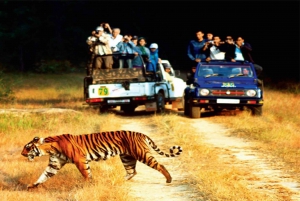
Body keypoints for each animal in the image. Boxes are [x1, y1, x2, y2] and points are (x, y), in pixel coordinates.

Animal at [21, 130, 182, 189]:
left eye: (27, 147)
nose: (22, 154)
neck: (50, 148)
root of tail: (141, 134)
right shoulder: (54, 164)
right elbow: (44, 175)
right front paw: (32, 186)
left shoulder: (80, 160)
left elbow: (86, 174)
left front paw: (89, 185)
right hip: (126, 157)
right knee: (132, 171)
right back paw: (114, 182)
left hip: (142, 154)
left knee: (160, 165)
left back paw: (169, 179)